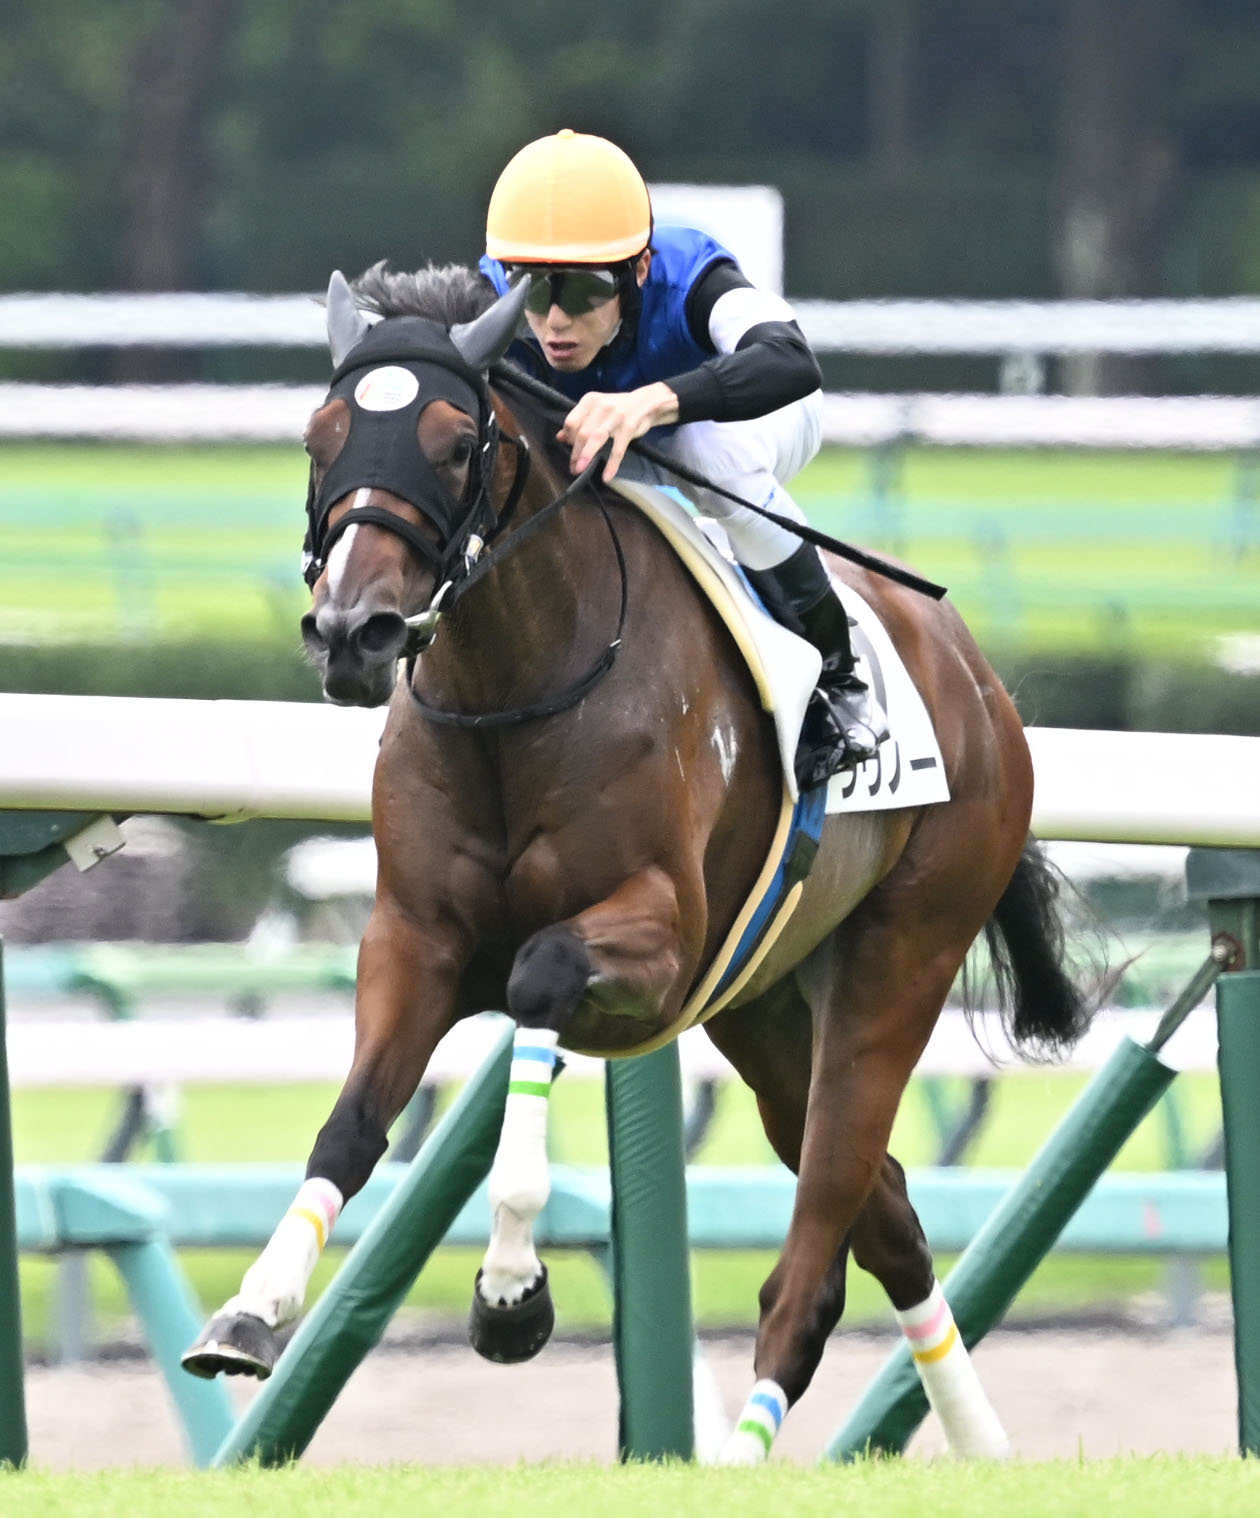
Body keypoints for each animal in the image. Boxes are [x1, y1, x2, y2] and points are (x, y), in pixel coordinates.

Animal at [182, 261, 1089, 1463]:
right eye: (319, 435)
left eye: (455, 442)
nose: (351, 633)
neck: (515, 692)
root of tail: (982, 685)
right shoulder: (414, 938)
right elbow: (353, 1121)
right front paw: (252, 1308)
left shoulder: (660, 941)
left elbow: (538, 980)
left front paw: (511, 1289)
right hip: (767, 1010)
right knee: (886, 1215)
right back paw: (983, 1453)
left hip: (901, 956)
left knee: (817, 1245)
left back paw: (749, 1447)